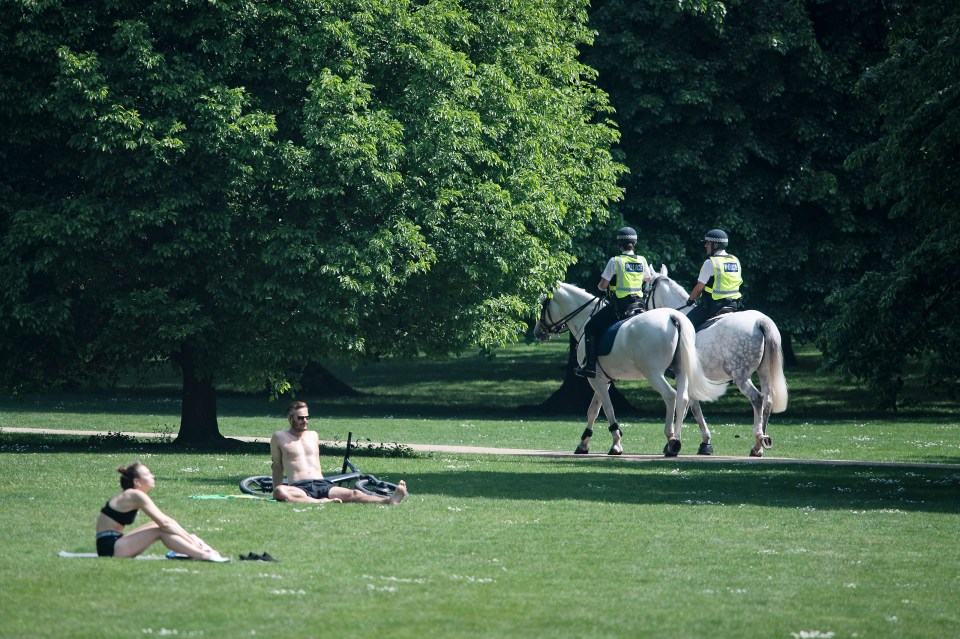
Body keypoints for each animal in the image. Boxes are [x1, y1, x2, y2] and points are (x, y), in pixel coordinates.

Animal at [532, 284, 728, 456]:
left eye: (543, 304)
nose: (537, 332)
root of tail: (673, 317)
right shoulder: (602, 379)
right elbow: (593, 410)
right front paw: (584, 444)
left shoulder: (594, 379)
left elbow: (608, 409)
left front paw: (616, 444)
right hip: (681, 372)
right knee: (684, 399)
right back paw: (677, 442)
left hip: (653, 374)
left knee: (670, 396)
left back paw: (671, 439)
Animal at [644, 264, 788, 456]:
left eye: (646, 291)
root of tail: (760, 321)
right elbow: (692, 407)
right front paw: (700, 442)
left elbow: (689, 408)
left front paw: (676, 442)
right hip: (763, 371)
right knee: (768, 400)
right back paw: (759, 444)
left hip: (740, 375)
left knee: (757, 398)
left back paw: (758, 440)